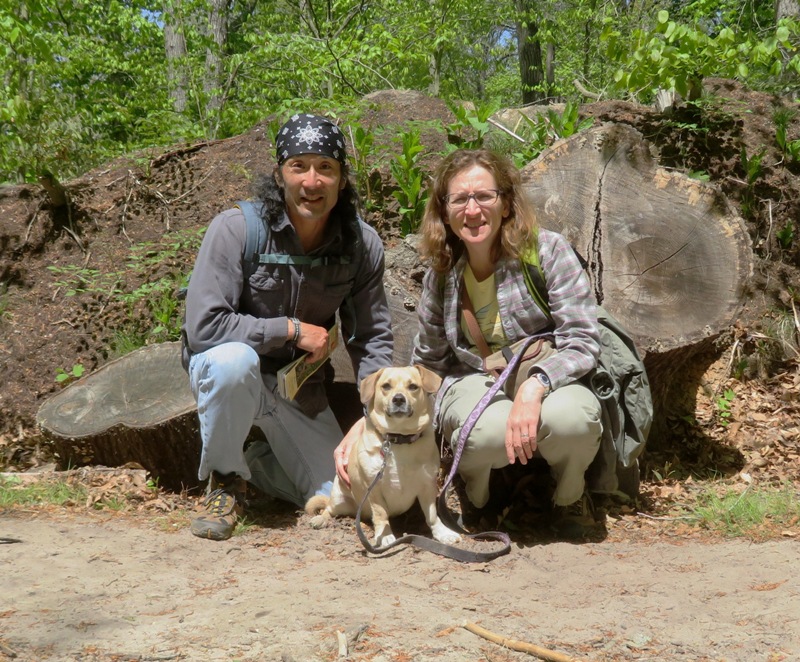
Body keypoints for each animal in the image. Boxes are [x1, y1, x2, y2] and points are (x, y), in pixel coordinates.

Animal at [304, 366, 460, 548]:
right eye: (386, 386)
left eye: (413, 387)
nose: (398, 398)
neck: (399, 439)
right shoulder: (374, 489)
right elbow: (381, 513)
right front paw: (384, 535)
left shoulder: (427, 486)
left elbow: (432, 515)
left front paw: (442, 533)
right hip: (338, 500)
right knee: (328, 509)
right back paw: (320, 519)